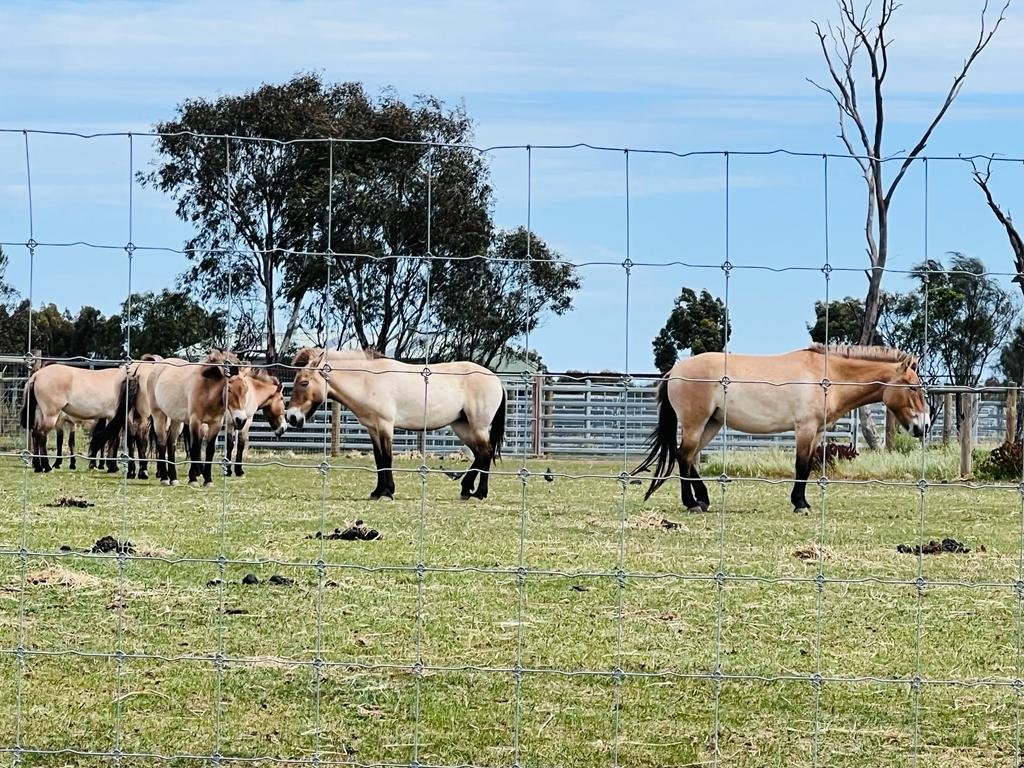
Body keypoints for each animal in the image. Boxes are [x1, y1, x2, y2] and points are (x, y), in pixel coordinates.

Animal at [148, 351, 247, 486]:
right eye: (229, 389)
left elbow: (209, 450)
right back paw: (164, 478)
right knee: (161, 443)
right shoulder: (195, 422)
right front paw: (193, 479)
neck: (208, 390)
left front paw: (208, 480)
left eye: (246, 389)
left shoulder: (215, 424)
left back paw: (174, 478)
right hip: (159, 415)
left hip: (176, 420)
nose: (241, 421)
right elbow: (195, 447)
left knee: (171, 444)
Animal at [285, 347, 506, 500]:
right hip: (462, 426)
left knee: (486, 452)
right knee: (480, 454)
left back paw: (479, 493)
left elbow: (387, 458)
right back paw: (466, 488)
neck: (367, 380)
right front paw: (377, 491)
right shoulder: (373, 429)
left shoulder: (385, 426)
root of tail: (496, 380)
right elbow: (378, 460)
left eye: (304, 382)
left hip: (477, 426)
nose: (291, 417)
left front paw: (387, 492)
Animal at [633, 343, 929, 514]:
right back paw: (692, 504)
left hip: (711, 424)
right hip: (696, 423)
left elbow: (807, 466)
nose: (923, 426)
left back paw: (703, 500)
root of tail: (674, 371)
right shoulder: (805, 428)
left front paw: (803, 502)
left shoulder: (816, 432)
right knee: (684, 457)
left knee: (691, 458)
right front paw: (800, 505)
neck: (827, 376)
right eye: (913, 387)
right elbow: (801, 466)